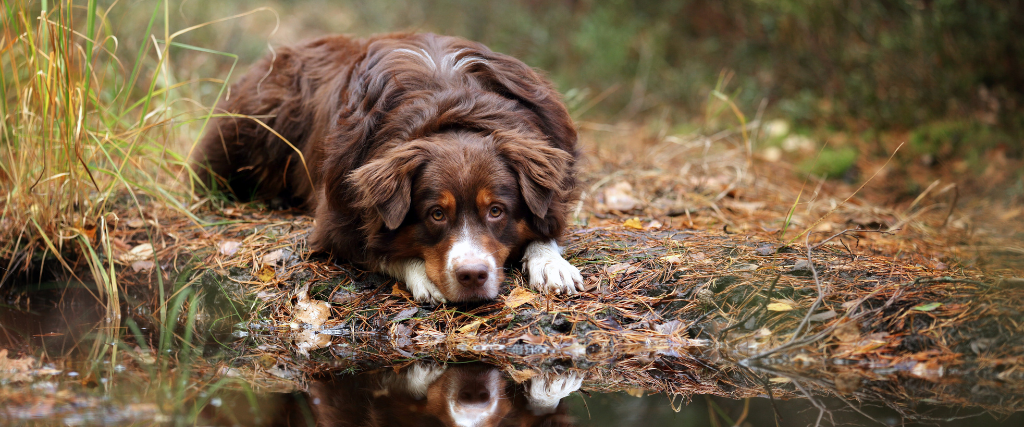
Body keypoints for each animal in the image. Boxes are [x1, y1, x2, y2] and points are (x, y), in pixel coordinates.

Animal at [190, 33, 585, 303]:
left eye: (497, 211)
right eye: (436, 214)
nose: (472, 276)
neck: (452, 107)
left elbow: (544, 229)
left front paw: (551, 263)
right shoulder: (338, 216)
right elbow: (377, 248)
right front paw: (422, 275)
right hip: (246, 130)